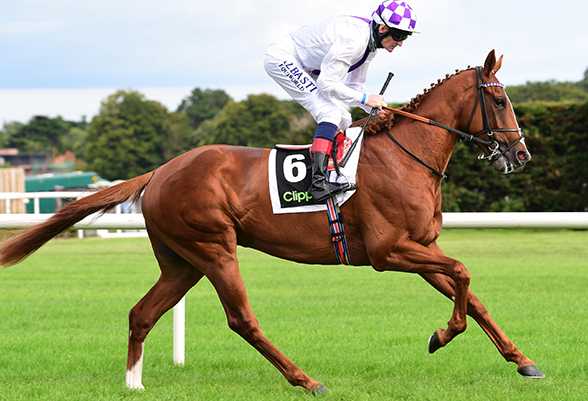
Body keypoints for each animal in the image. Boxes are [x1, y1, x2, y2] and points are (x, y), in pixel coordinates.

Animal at [0, 50, 544, 394]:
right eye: (499, 101)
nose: (521, 155)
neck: (404, 157)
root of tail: (161, 170)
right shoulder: (388, 252)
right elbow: (464, 276)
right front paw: (442, 335)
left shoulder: (420, 247)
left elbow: (469, 292)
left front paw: (523, 361)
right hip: (214, 247)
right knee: (241, 318)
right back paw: (306, 379)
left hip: (181, 261)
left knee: (142, 314)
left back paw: (134, 385)